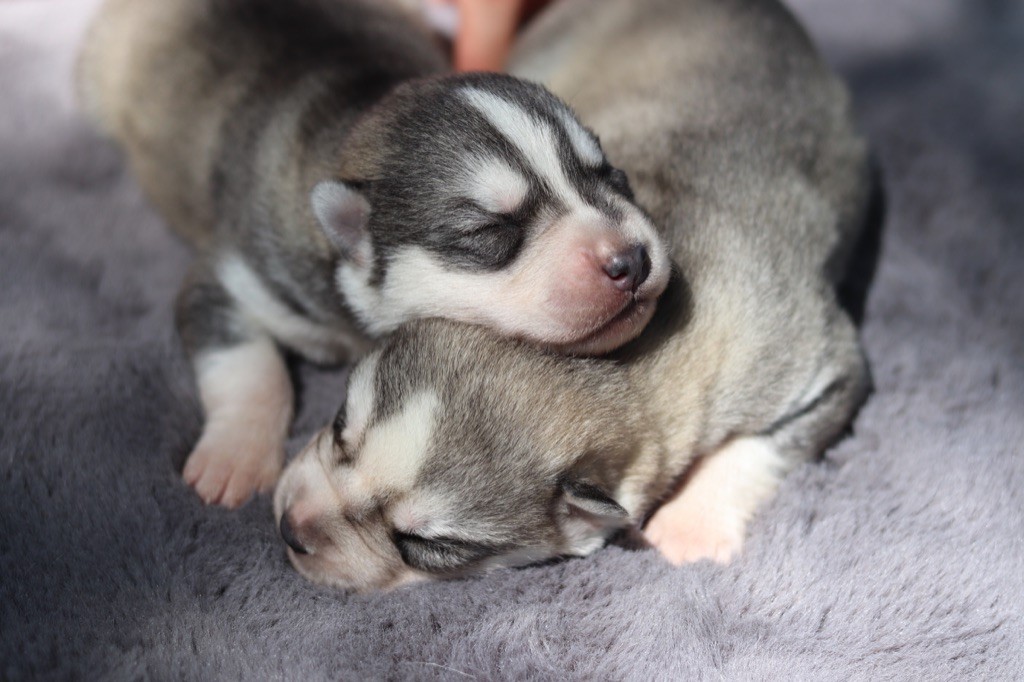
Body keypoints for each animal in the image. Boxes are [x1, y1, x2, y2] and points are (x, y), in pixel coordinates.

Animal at [79, 0, 671, 503]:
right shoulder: (235, 273)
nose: (632, 261)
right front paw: (236, 457)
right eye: (489, 232)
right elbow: (244, 362)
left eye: (610, 175)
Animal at [272, 0, 872, 589]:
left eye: (428, 547)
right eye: (339, 428)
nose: (289, 530)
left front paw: (690, 525)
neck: (629, 363)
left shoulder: (821, 366)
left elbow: (754, 448)